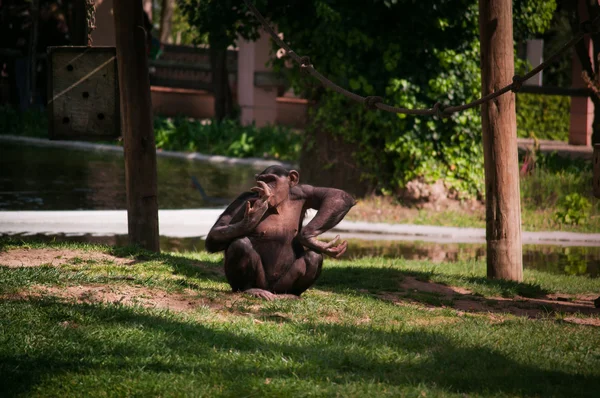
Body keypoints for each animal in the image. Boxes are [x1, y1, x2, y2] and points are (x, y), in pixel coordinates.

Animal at [206, 164, 356, 298]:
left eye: (272, 180)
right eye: (262, 180)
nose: (265, 188)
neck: (279, 203)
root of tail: (271, 290)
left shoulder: (304, 191)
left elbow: (336, 195)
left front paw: (308, 237)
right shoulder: (244, 198)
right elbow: (216, 232)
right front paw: (251, 218)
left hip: (281, 285)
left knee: (314, 256)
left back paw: (291, 294)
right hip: (259, 283)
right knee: (240, 244)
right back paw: (251, 289)